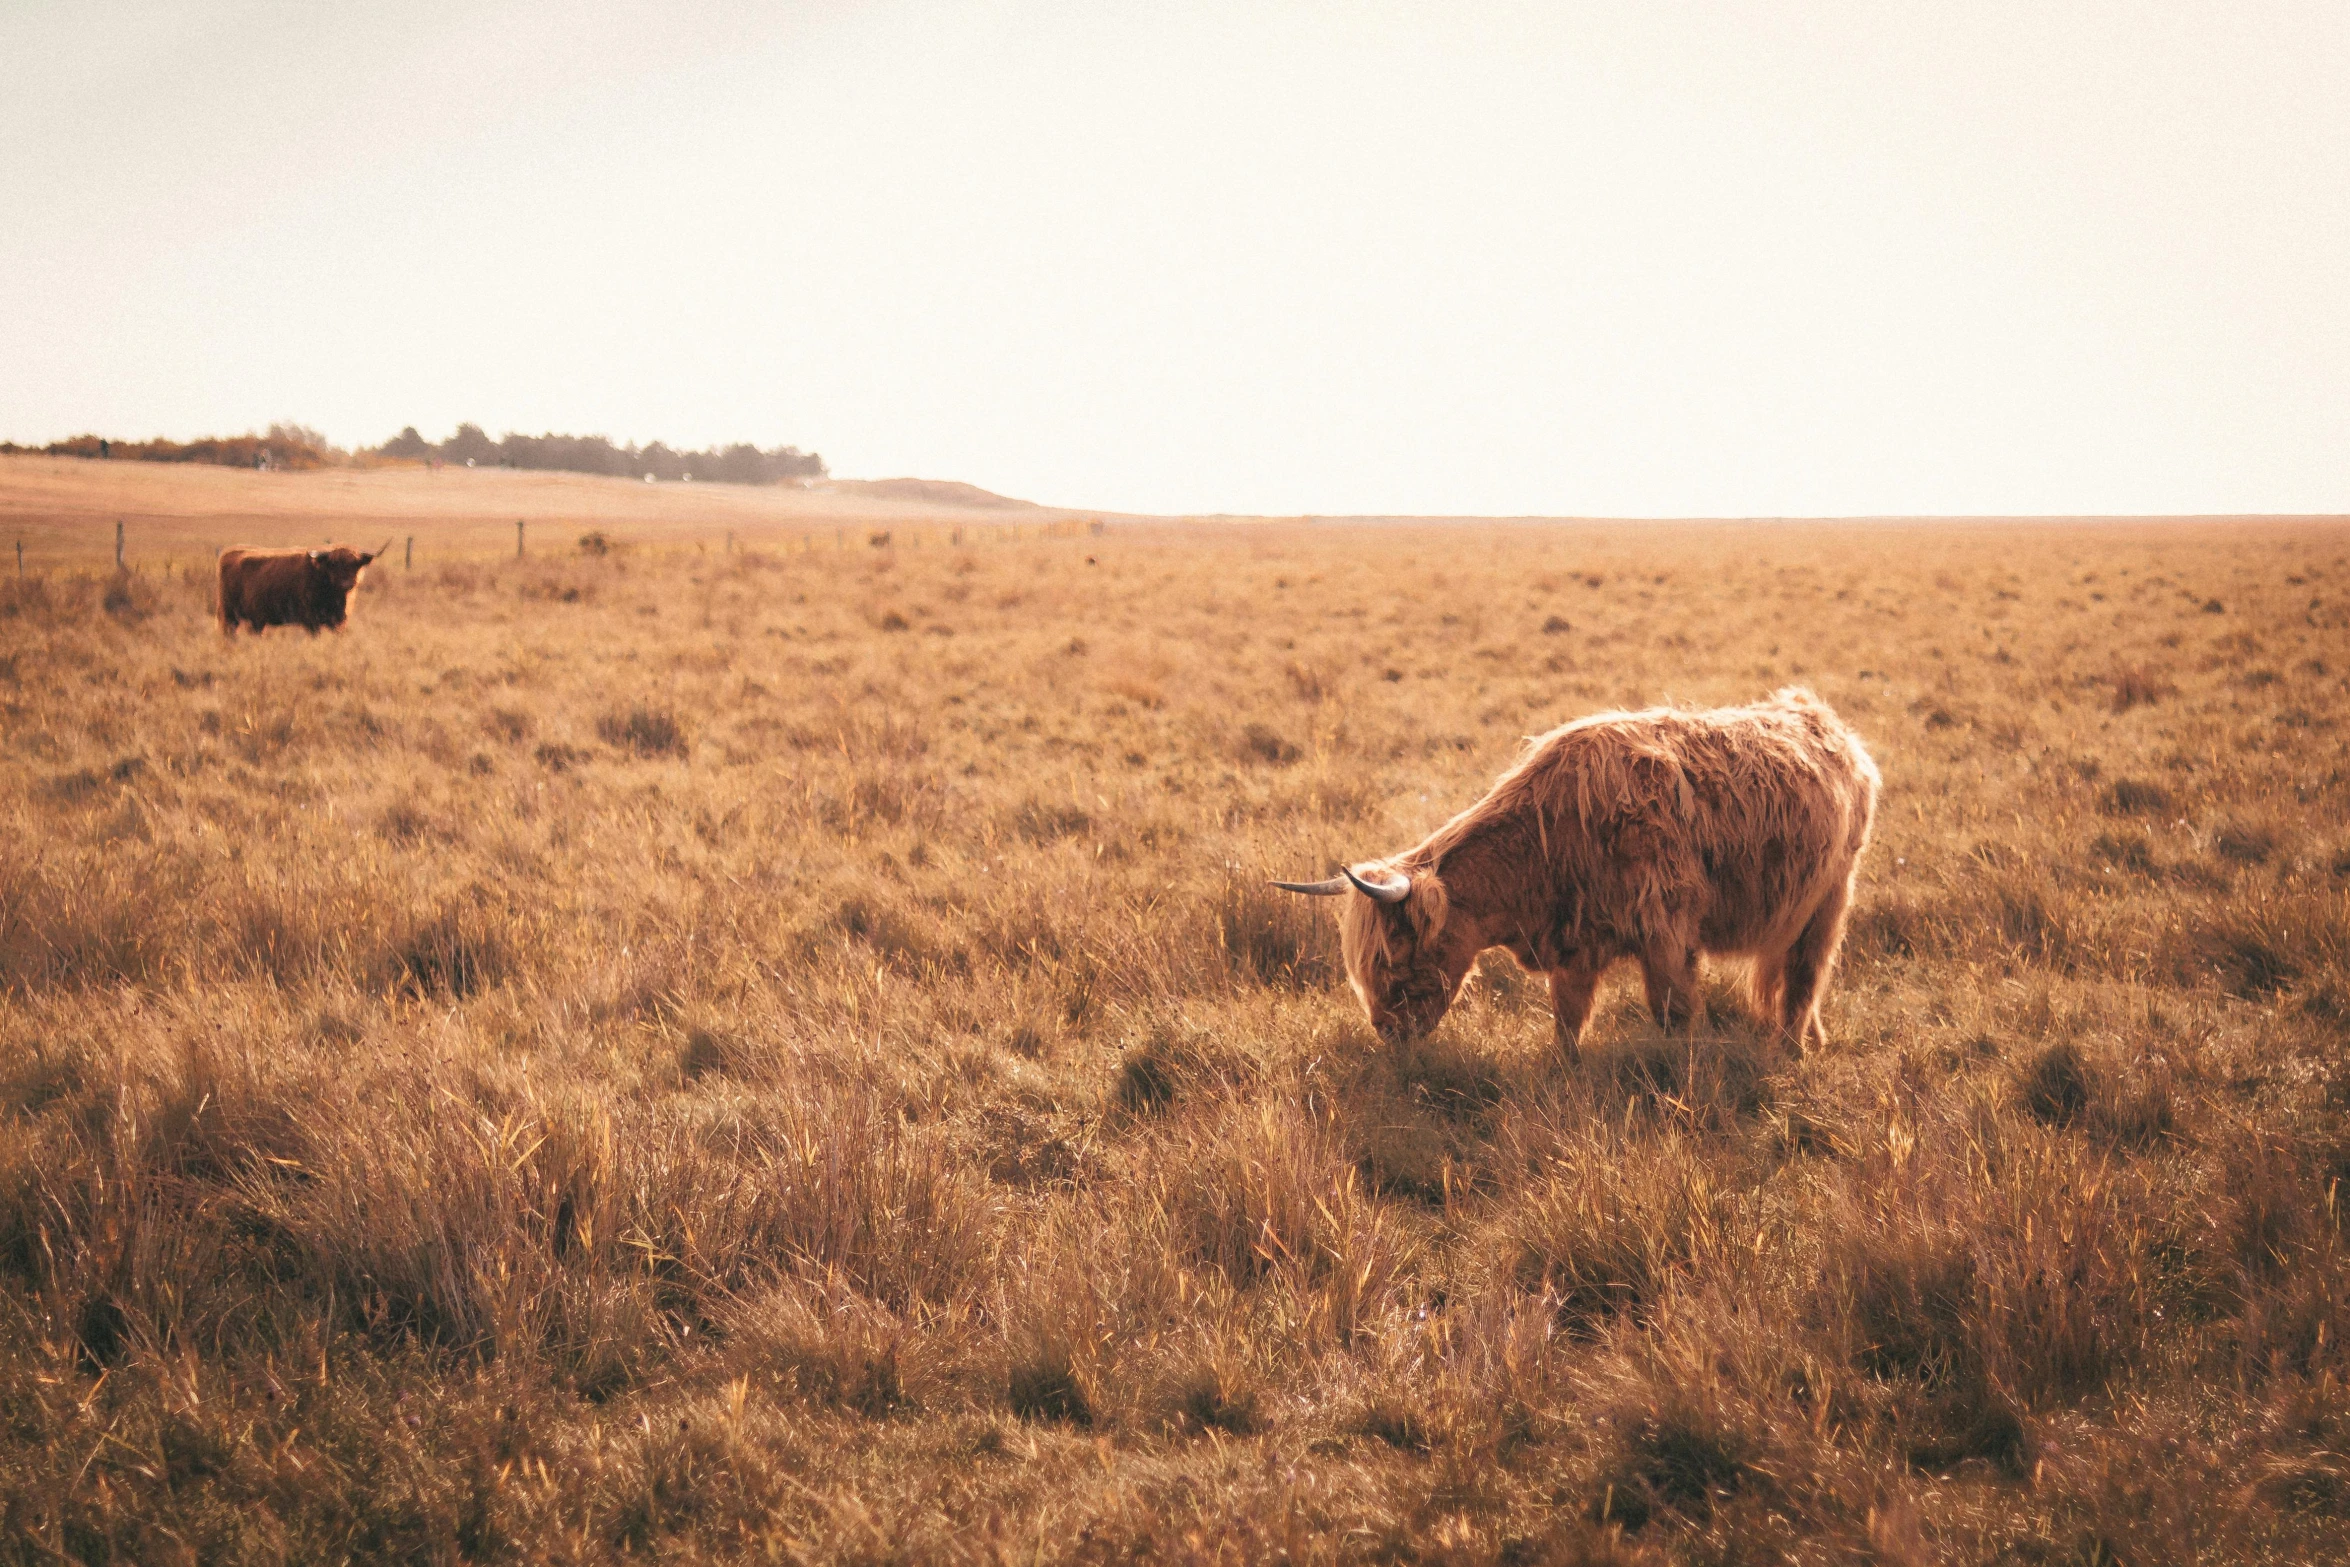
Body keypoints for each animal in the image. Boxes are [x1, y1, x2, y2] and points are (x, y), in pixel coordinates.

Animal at [220, 542, 390, 634]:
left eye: (356, 564)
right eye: (333, 564)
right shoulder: (311, 621)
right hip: (229, 615)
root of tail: (229, 552)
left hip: (256, 620)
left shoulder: (339, 622)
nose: (347, 583)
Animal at [1278, 686, 1879, 1052]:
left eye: (1395, 952)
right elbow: (1566, 1023)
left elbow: (1675, 1013)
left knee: (1805, 977)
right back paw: (1813, 1041)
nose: (1386, 1032)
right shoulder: (1573, 947)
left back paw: (1791, 1050)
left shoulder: (1667, 933)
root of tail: (1820, 717)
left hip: (1830, 898)